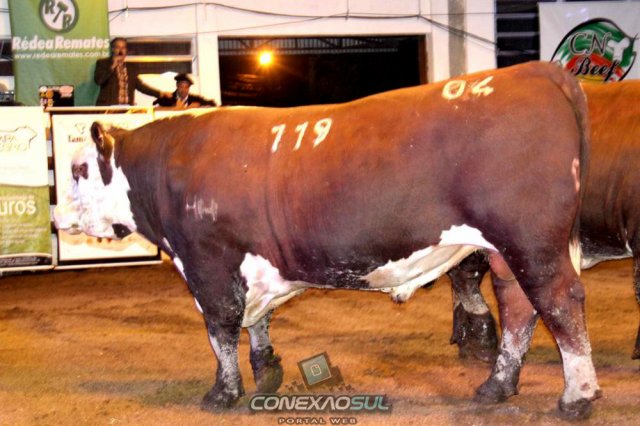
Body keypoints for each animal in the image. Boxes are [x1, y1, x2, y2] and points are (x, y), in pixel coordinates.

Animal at [53, 61, 600, 419]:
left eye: (79, 170)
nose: (57, 216)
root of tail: (534, 71)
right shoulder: (252, 262)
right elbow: (257, 320)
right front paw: (267, 371)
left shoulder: (208, 263)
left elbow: (221, 329)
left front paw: (222, 394)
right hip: (505, 251)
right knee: (519, 308)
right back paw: (497, 386)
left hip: (531, 240)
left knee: (559, 302)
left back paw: (577, 397)